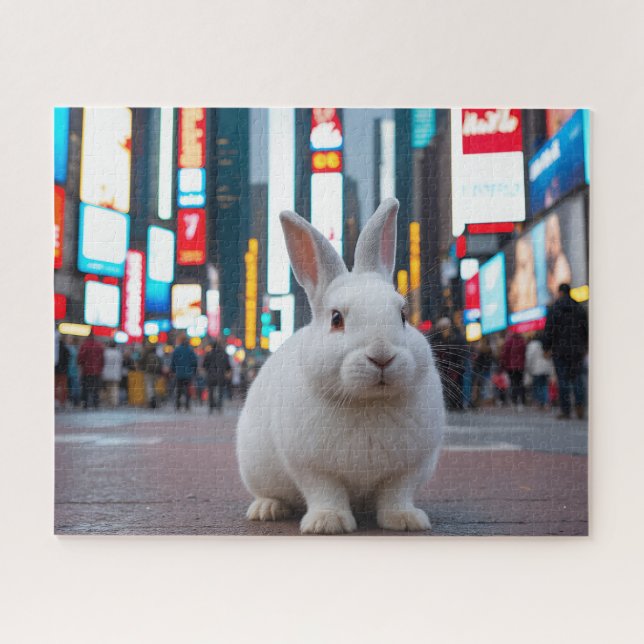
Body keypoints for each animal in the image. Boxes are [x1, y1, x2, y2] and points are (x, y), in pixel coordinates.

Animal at [236, 198, 445, 534]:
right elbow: (326, 493)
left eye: (402, 315)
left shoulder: (407, 469)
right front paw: (327, 523)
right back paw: (266, 510)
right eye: (336, 319)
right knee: (270, 493)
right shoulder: (312, 468)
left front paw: (405, 520)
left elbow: (396, 494)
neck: (367, 402)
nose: (381, 355)